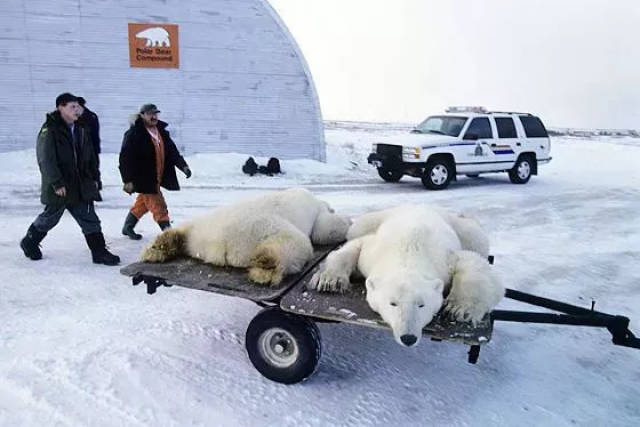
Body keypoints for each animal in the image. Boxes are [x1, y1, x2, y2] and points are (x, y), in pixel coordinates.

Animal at [141, 188, 350, 286]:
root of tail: (220, 243)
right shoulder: (317, 212)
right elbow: (324, 230)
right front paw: (347, 221)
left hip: (204, 226)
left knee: (186, 230)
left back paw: (158, 248)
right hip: (262, 226)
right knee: (295, 243)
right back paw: (267, 266)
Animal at [310, 206, 504, 350]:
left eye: (421, 305)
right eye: (393, 303)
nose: (408, 337)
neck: (409, 251)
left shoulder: (444, 258)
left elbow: (472, 263)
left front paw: (459, 309)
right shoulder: (373, 250)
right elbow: (353, 247)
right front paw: (329, 281)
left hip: (464, 229)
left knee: (476, 239)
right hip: (372, 220)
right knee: (357, 228)